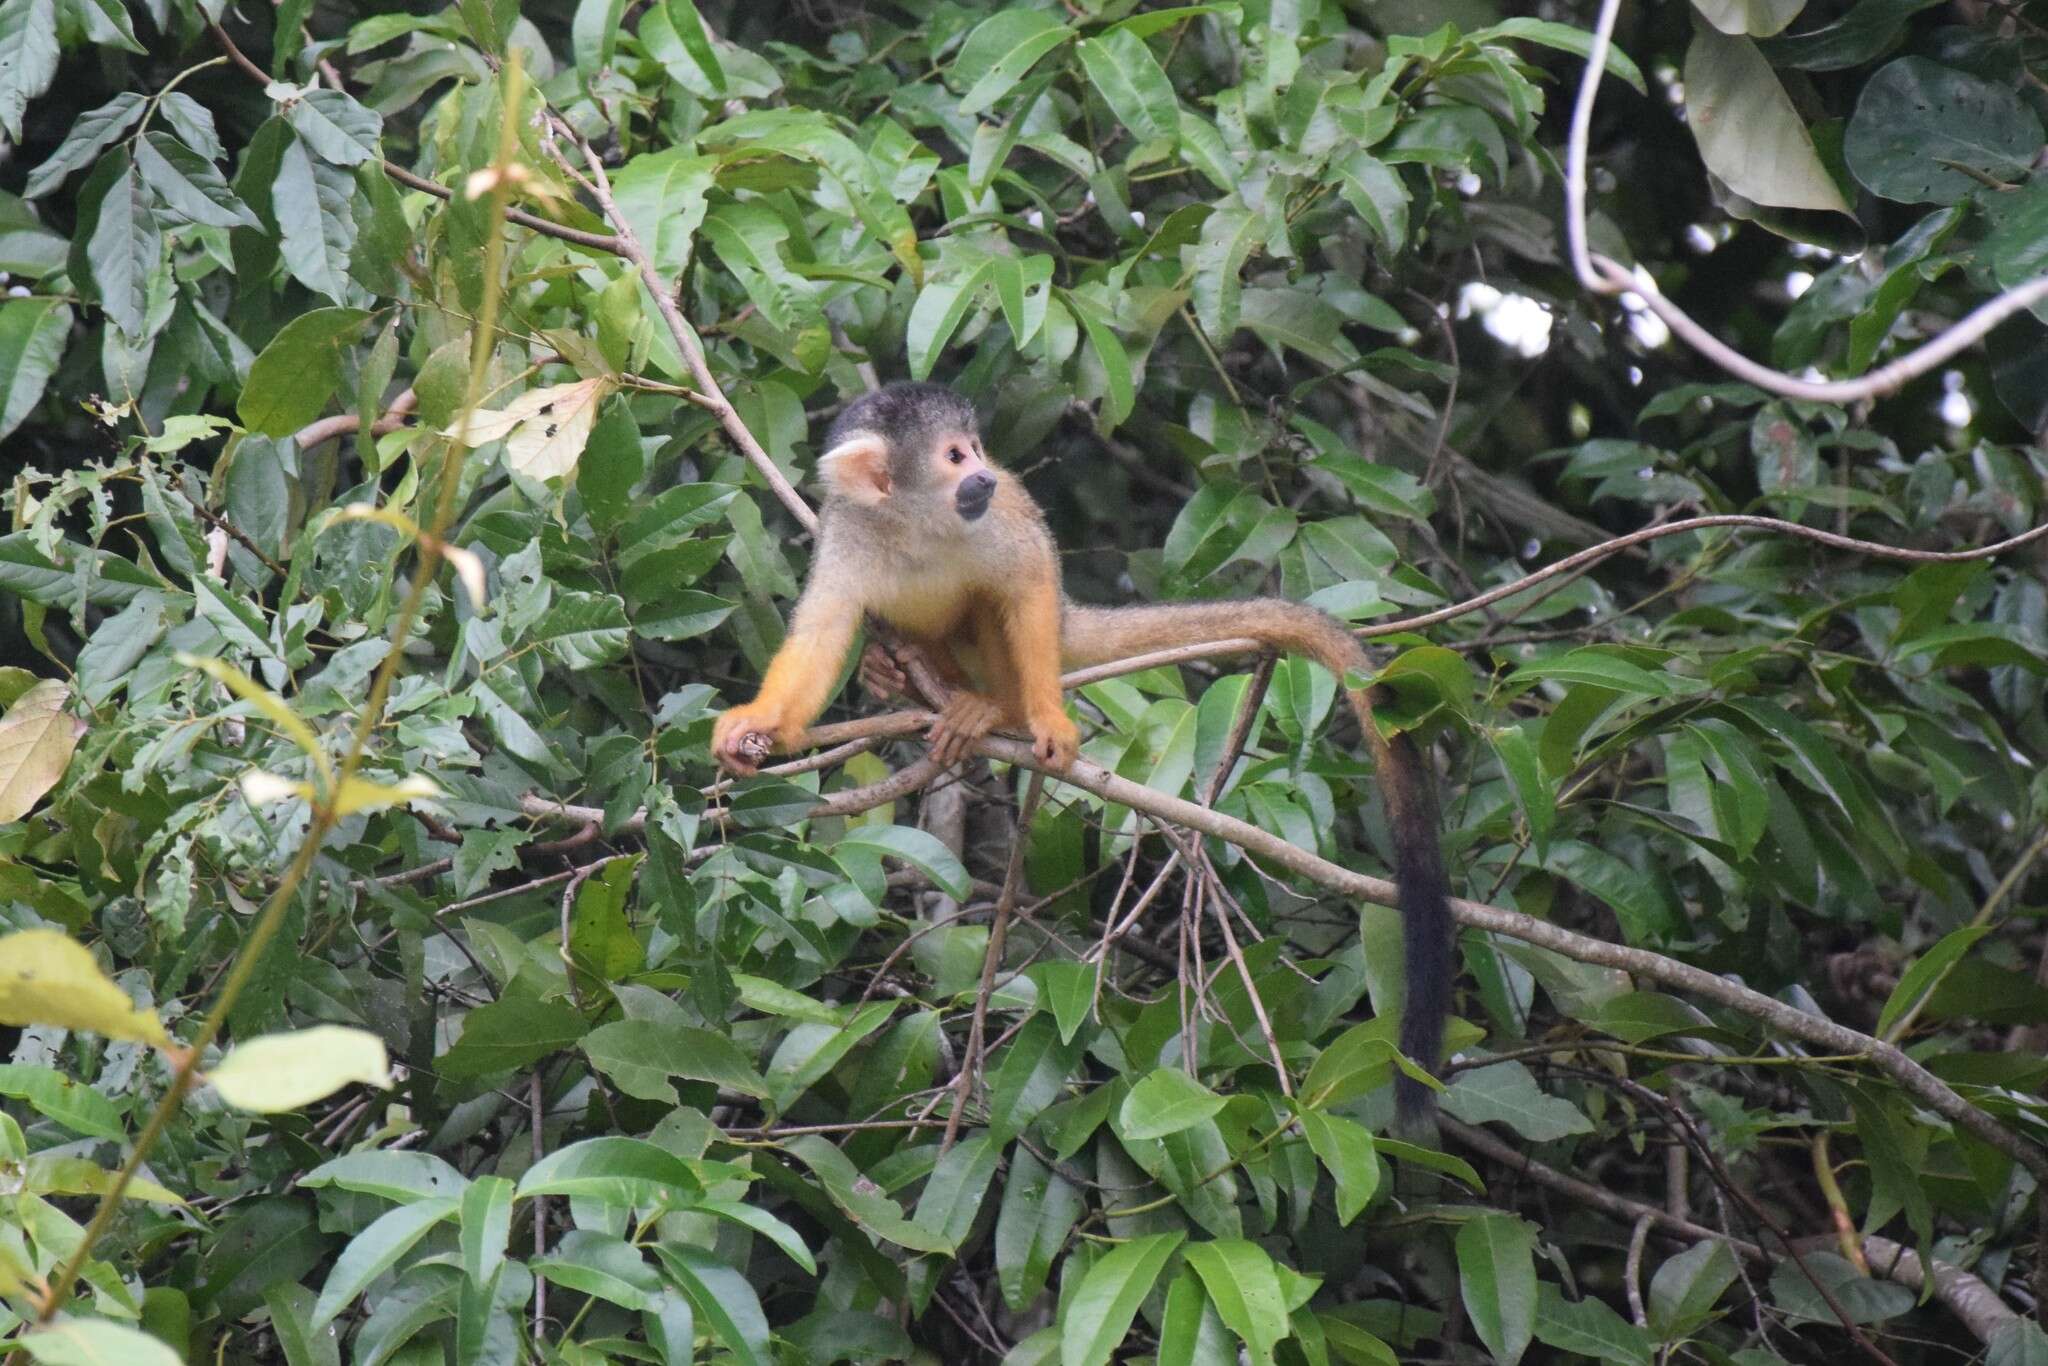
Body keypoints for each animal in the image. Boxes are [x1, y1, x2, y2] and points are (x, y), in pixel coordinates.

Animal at [720, 385, 1458, 1122]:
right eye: (954, 456)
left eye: (975, 450)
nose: (986, 475)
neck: (914, 523)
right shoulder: (848, 536)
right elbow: (820, 634)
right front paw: (761, 724)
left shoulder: (997, 528)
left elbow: (1027, 587)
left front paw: (1045, 717)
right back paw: (898, 673)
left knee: (1005, 605)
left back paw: (992, 708)